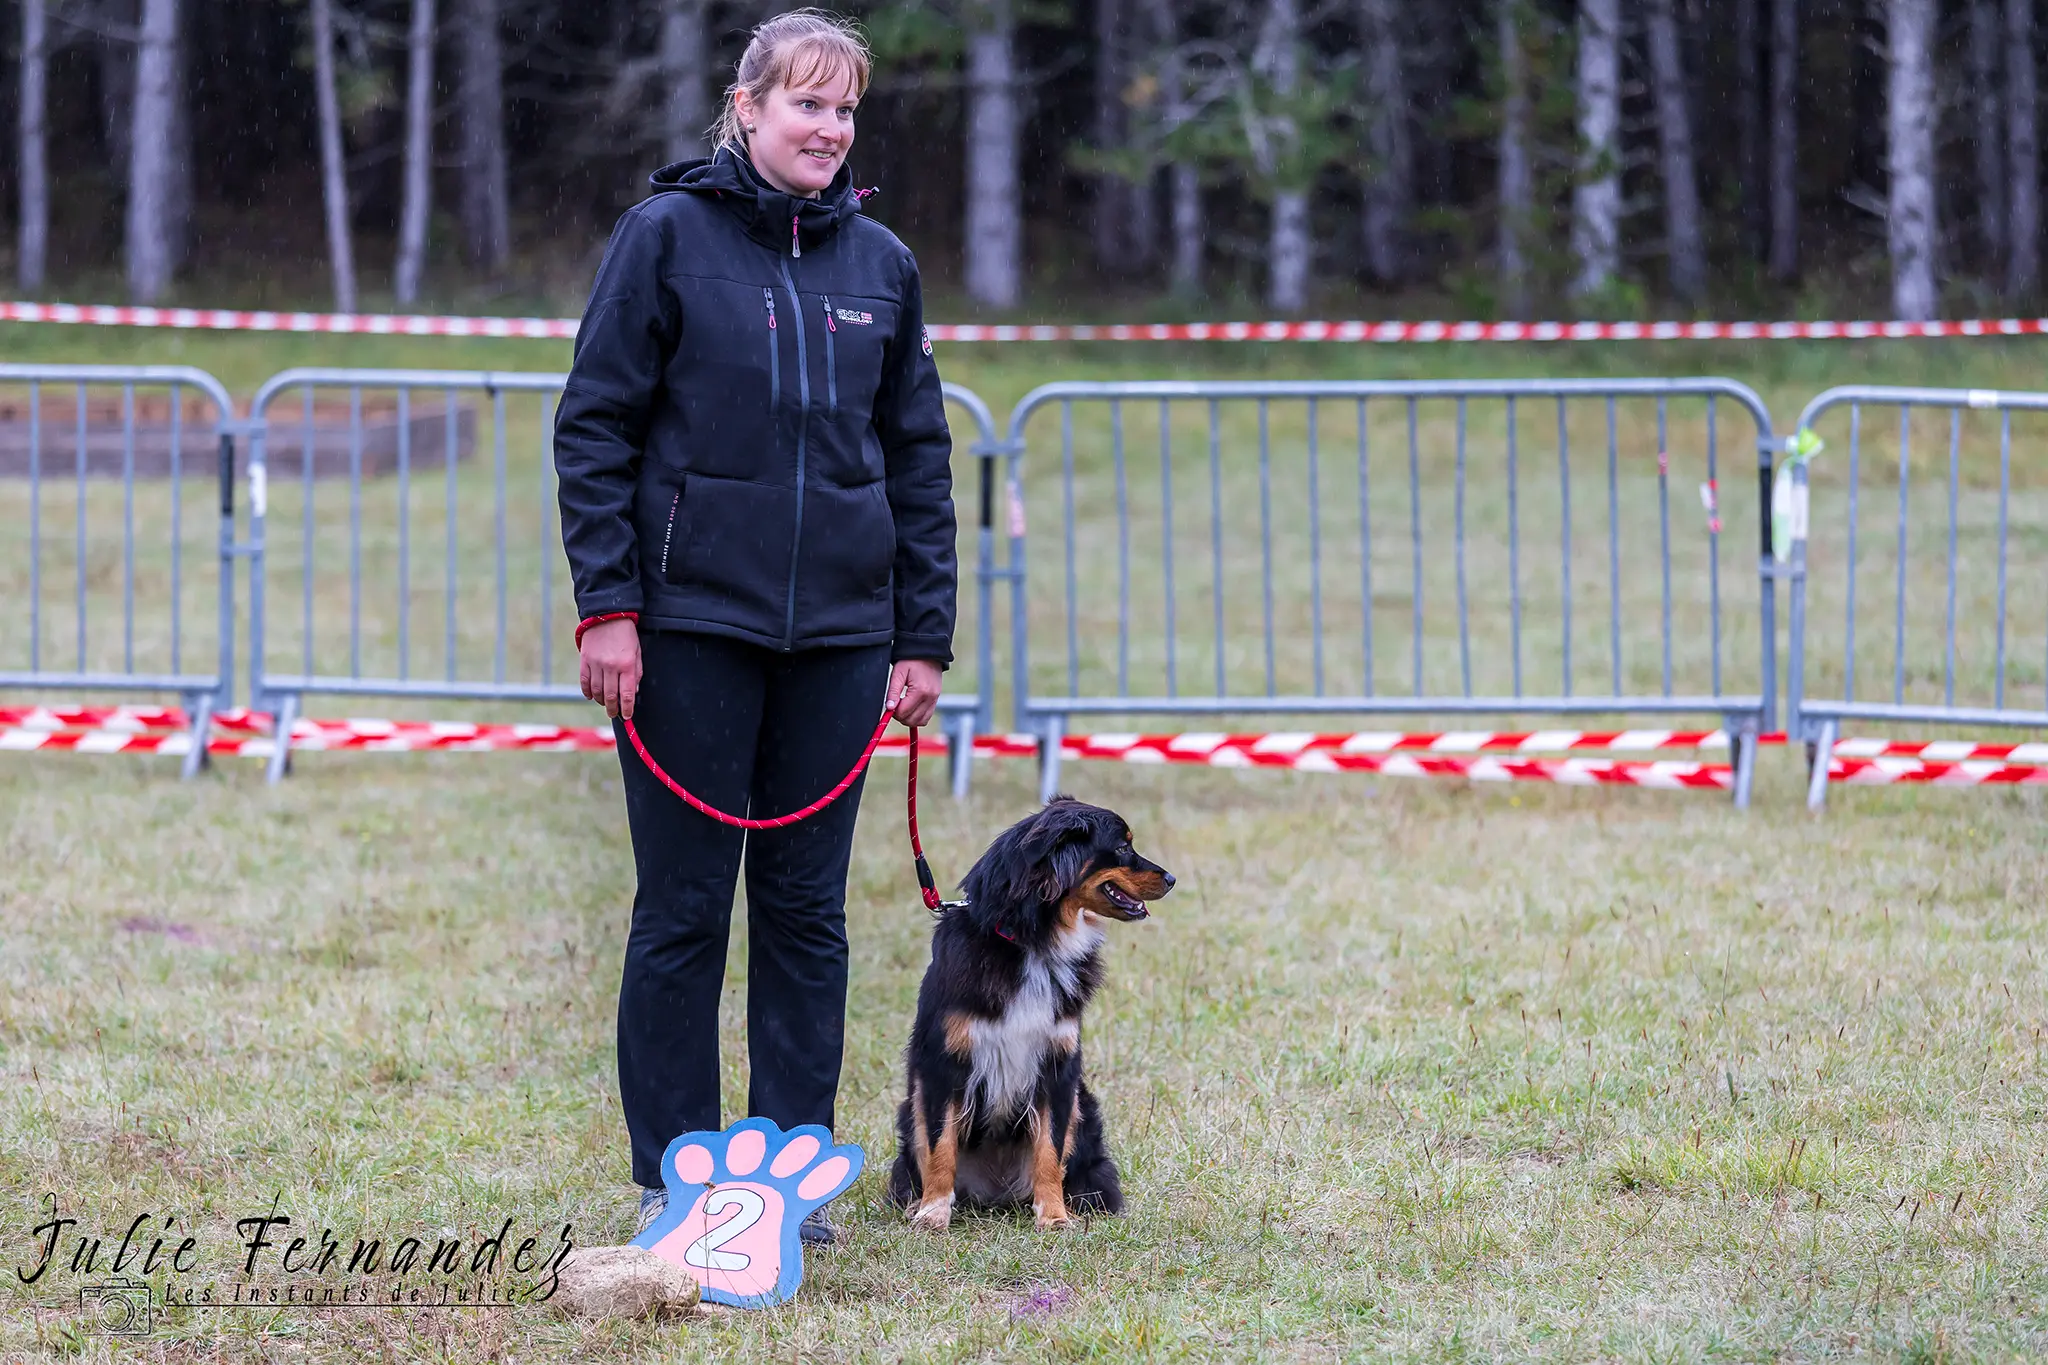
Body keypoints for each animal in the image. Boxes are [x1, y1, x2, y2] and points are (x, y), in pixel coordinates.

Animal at [888, 794, 1179, 1236]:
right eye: (1123, 846)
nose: (1172, 879)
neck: (1032, 943)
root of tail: (995, 1192)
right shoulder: (943, 1066)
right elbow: (940, 1147)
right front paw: (933, 1212)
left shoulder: (1058, 1069)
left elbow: (1050, 1150)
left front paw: (1055, 1216)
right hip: (911, 1108)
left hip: (1084, 1109)